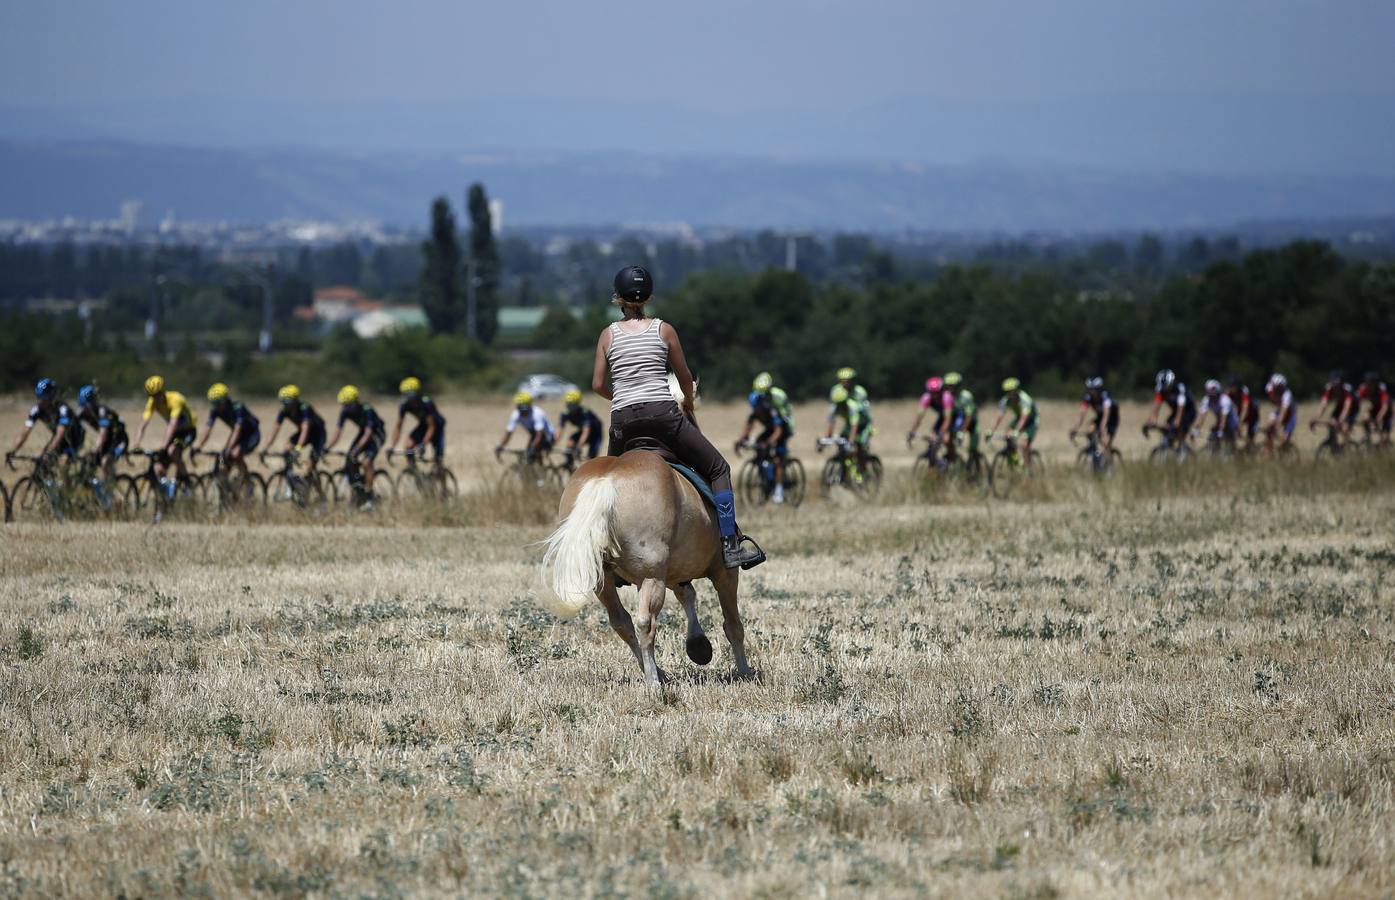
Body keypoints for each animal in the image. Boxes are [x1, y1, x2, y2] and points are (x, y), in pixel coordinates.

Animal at [538, 449, 753, 680]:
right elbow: (732, 625)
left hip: (604, 581)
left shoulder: (673, 572)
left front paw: (697, 644)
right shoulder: (725, 574)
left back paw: (657, 673)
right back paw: (653, 680)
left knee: (621, 621)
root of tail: (606, 479)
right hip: (652, 577)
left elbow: (687, 595)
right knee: (645, 623)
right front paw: (744, 671)